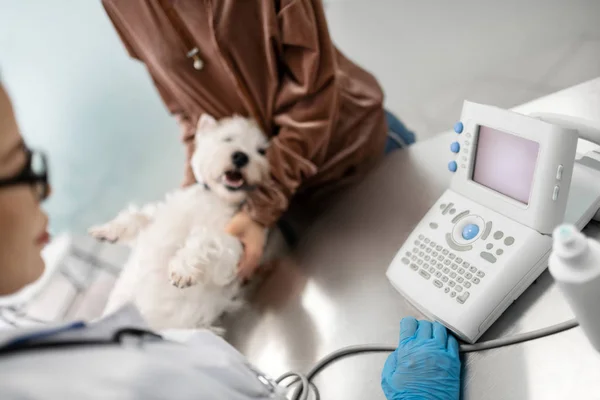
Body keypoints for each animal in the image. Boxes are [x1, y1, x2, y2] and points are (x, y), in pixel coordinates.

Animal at [89, 115, 270, 332]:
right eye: (228, 138)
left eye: (261, 151)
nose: (241, 157)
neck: (215, 199)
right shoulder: (160, 218)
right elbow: (139, 217)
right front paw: (106, 231)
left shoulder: (231, 253)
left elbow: (206, 240)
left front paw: (182, 271)